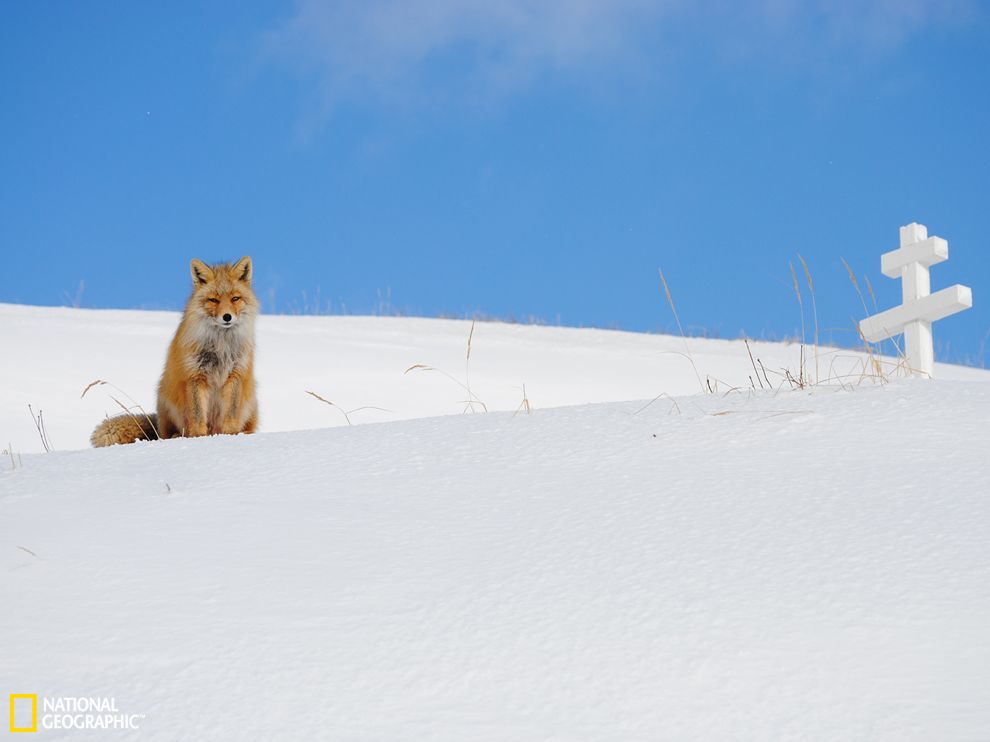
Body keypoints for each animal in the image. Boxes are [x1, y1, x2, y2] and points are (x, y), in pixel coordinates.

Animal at [91, 256, 260, 448]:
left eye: (235, 298)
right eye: (213, 300)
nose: (227, 317)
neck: (220, 346)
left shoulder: (236, 374)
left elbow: (231, 413)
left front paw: (231, 435)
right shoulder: (195, 375)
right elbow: (198, 416)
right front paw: (199, 437)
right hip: (165, 398)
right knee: (168, 433)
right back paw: (177, 436)